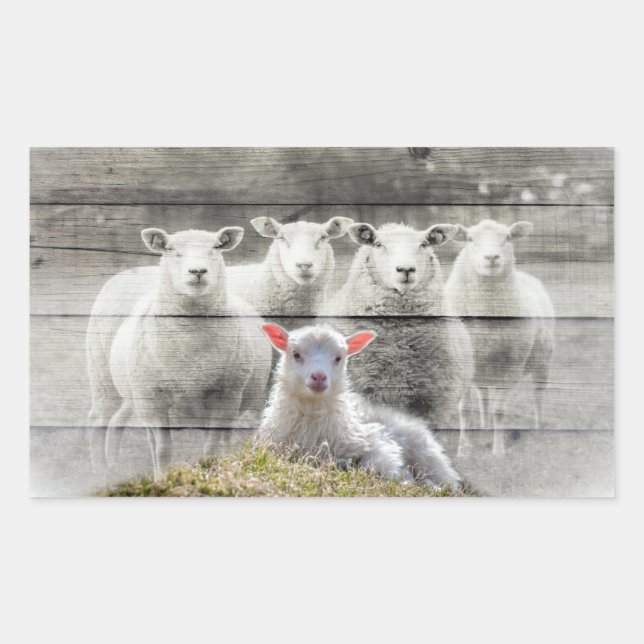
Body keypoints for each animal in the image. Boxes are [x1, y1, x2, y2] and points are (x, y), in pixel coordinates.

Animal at [88, 226, 272, 480]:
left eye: (216, 248)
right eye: (171, 249)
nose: (197, 271)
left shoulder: (226, 395)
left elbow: (211, 447)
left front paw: (211, 475)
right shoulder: (154, 399)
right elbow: (163, 449)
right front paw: (162, 479)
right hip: (111, 383)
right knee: (106, 422)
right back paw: (103, 469)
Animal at [255, 324, 460, 489]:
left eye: (338, 358)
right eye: (296, 354)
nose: (319, 377)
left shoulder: (376, 442)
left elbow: (376, 465)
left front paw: (405, 479)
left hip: (427, 456)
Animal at [444, 219, 555, 455]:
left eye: (508, 238)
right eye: (470, 239)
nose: (492, 257)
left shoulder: (510, 366)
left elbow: (500, 410)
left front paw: (498, 451)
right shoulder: (463, 364)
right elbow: (464, 409)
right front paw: (464, 449)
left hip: (542, 361)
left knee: (538, 396)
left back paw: (538, 430)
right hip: (482, 368)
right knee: (483, 396)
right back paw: (484, 429)